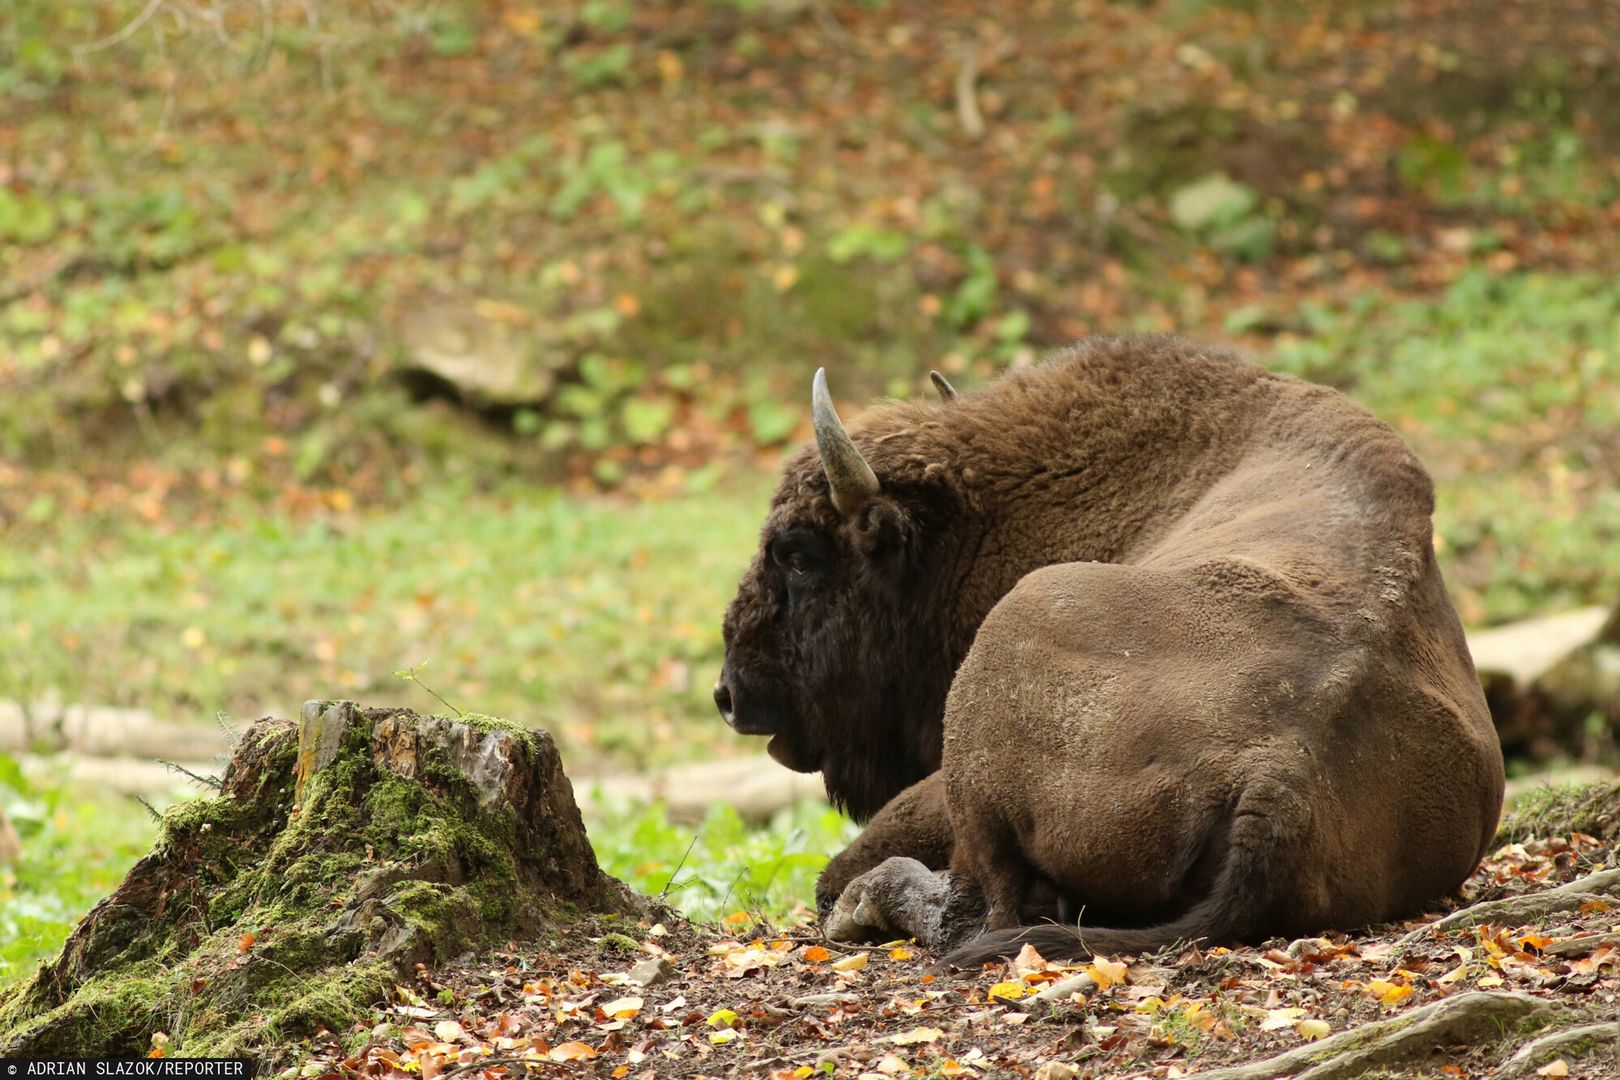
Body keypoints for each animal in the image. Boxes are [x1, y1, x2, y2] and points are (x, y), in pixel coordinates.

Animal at [716, 335, 1496, 965]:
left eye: (798, 556)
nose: (730, 695)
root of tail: (1279, 774)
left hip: (1004, 670)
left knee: (974, 908)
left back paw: (864, 905)